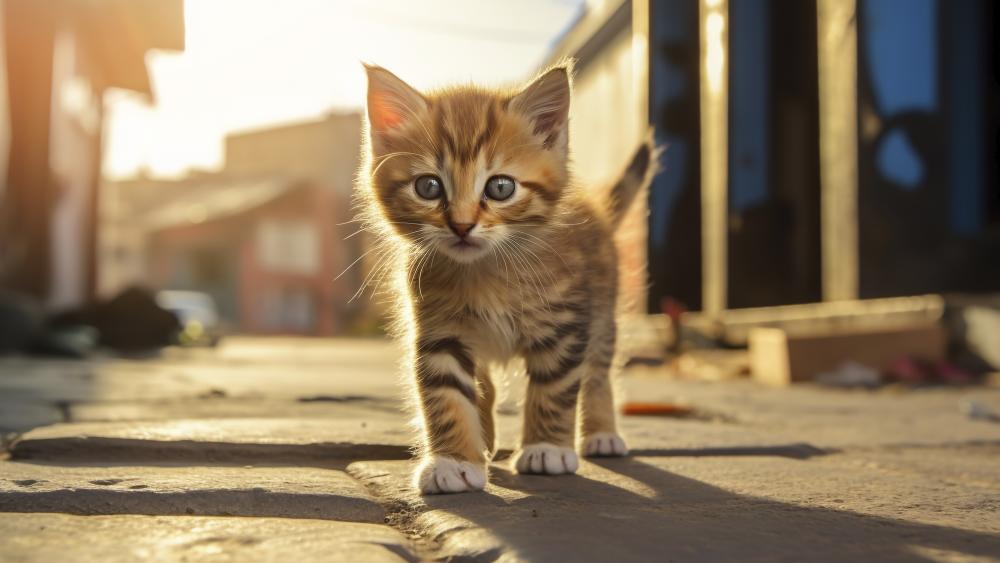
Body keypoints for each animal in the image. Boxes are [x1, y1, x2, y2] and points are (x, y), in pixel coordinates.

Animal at [358, 62, 656, 494]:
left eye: (500, 187)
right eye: (428, 187)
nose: (462, 225)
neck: (487, 272)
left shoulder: (565, 325)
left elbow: (555, 388)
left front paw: (547, 448)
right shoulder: (438, 331)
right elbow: (447, 397)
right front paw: (453, 460)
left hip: (602, 310)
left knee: (598, 372)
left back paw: (601, 433)